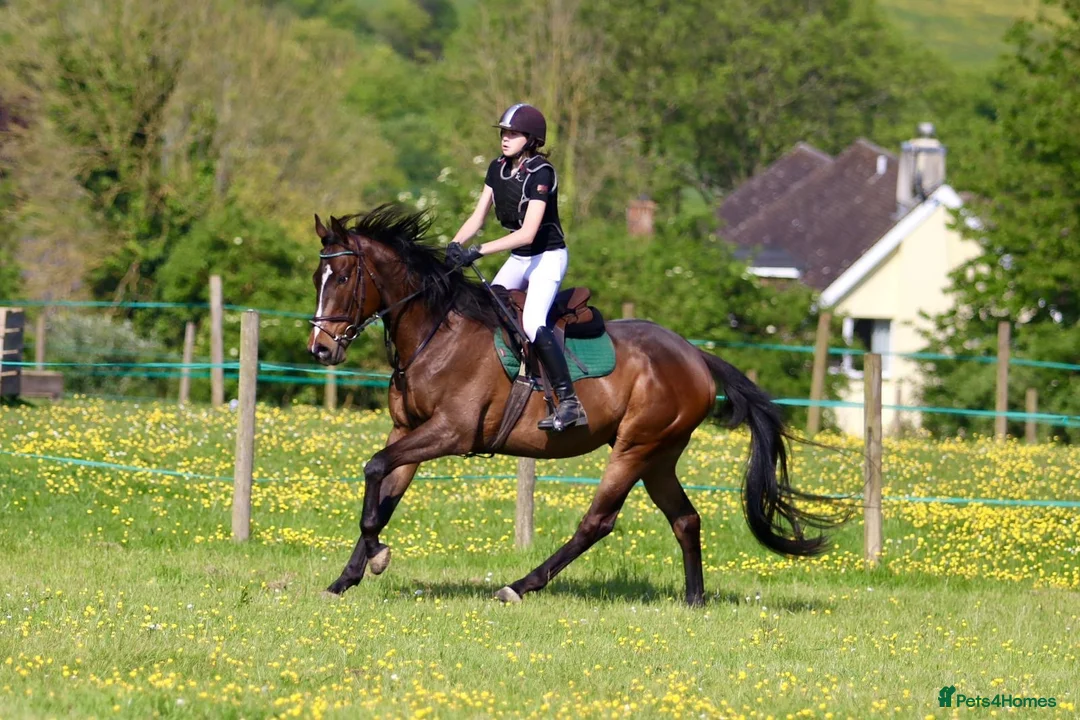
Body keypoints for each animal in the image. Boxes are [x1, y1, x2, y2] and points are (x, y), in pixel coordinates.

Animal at [306, 205, 846, 606]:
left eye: (345, 276)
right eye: (317, 276)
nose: (320, 350)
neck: (434, 332)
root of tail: (696, 356)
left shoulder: (450, 432)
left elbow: (375, 471)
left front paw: (374, 558)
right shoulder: (407, 430)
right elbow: (382, 492)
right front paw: (349, 575)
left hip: (634, 448)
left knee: (597, 522)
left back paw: (520, 586)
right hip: (659, 456)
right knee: (685, 518)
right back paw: (694, 599)